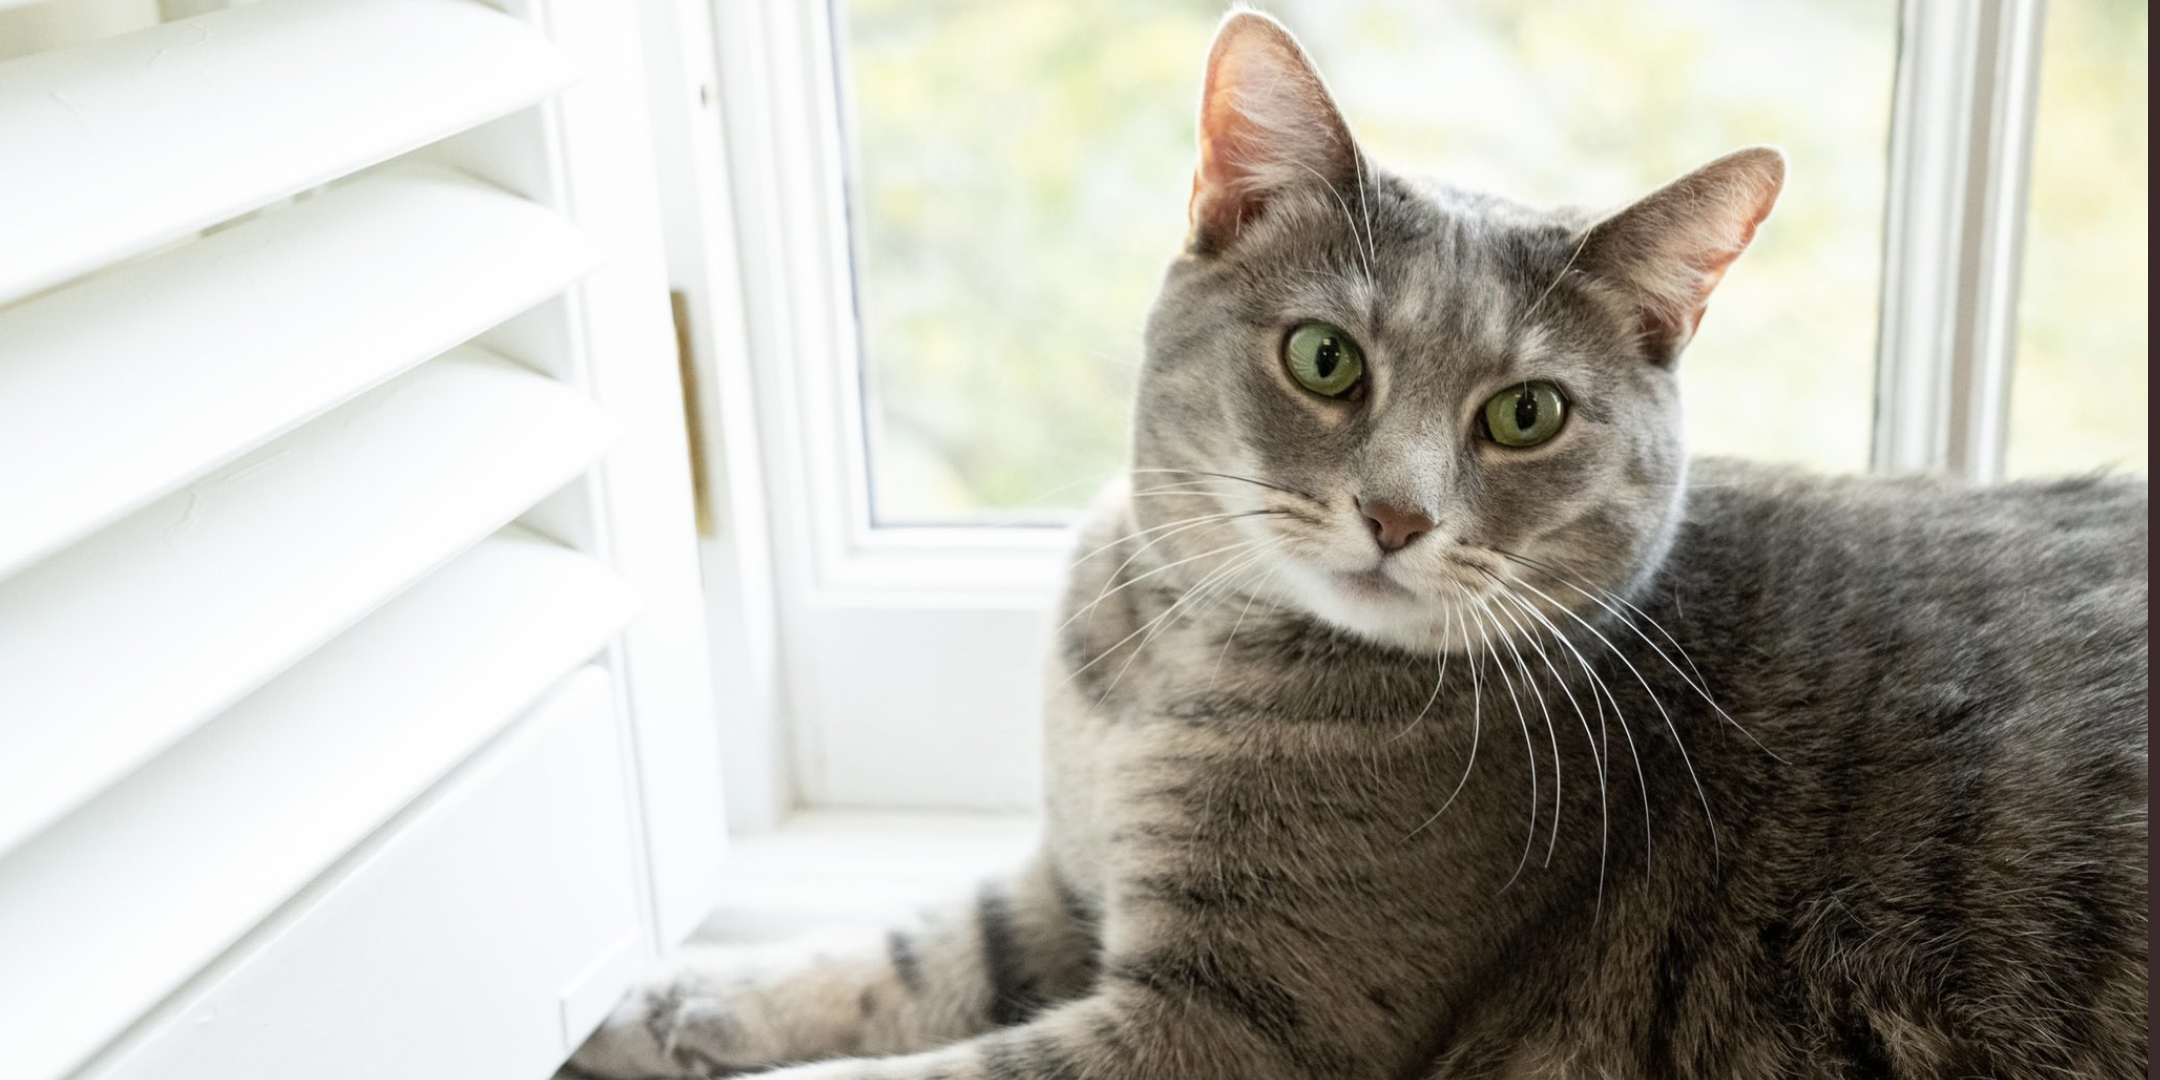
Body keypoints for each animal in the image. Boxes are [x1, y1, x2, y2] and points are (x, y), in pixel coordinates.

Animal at [570, 10, 2142, 1080]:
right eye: (1325, 359)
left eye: (1525, 414)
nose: (1396, 513)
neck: (1168, 661)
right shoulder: (1070, 880)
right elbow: (910, 952)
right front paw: (664, 1004)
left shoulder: (1228, 1025)